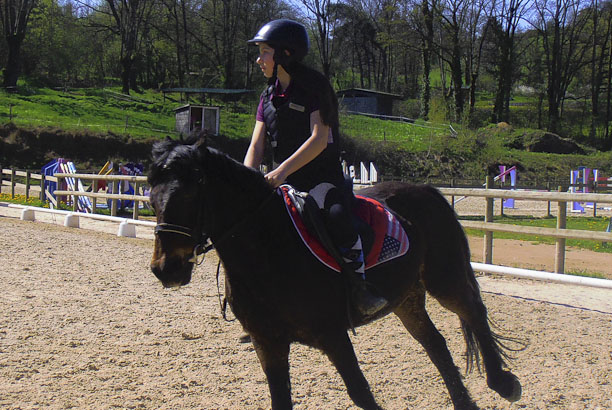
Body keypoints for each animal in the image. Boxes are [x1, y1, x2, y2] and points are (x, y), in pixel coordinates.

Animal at [147, 137, 520, 410]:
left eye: (189, 194)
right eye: (151, 197)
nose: (166, 269)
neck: (268, 248)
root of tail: (426, 190)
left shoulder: (333, 334)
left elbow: (360, 392)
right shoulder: (267, 342)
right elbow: (281, 400)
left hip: (444, 277)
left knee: (473, 310)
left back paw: (503, 383)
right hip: (407, 296)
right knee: (436, 343)